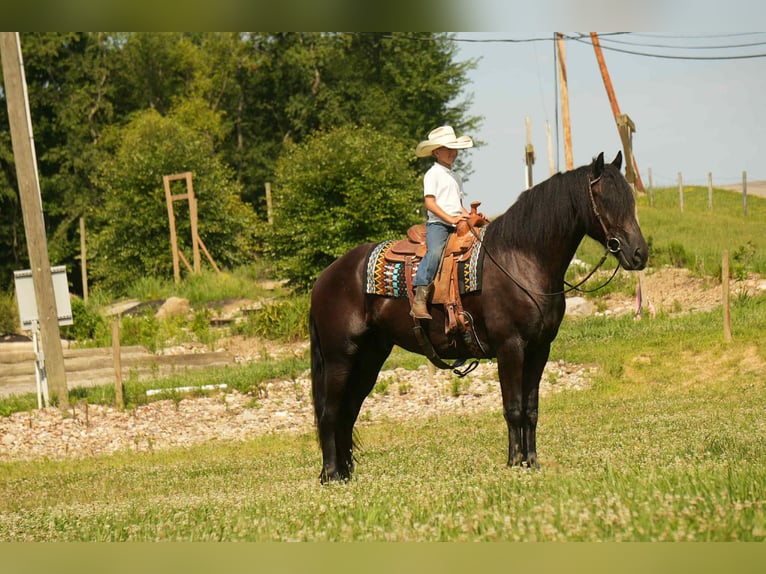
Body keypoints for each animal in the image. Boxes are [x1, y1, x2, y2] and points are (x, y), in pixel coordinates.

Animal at [309, 151, 648, 483]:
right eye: (605, 200)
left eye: (629, 199)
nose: (639, 254)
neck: (520, 260)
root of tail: (325, 277)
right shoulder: (510, 347)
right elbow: (513, 408)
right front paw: (514, 462)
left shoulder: (539, 349)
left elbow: (531, 409)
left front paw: (532, 462)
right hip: (341, 356)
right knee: (330, 412)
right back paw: (331, 474)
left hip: (370, 357)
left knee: (348, 411)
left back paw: (345, 472)